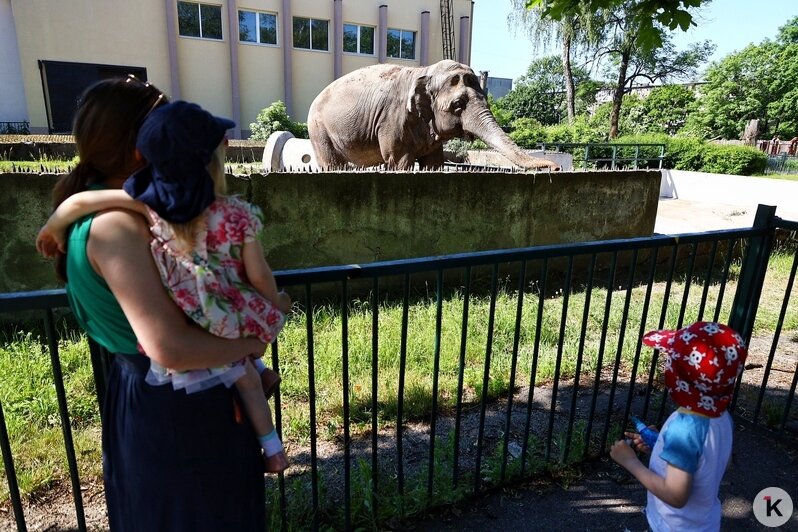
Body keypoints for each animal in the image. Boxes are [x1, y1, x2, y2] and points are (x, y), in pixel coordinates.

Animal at [310, 61, 560, 171]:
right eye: (458, 105)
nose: (555, 168)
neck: (424, 71)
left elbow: (434, 163)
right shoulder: (392, 121)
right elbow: (400, 161)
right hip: (319, 131)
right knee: (331, 163)